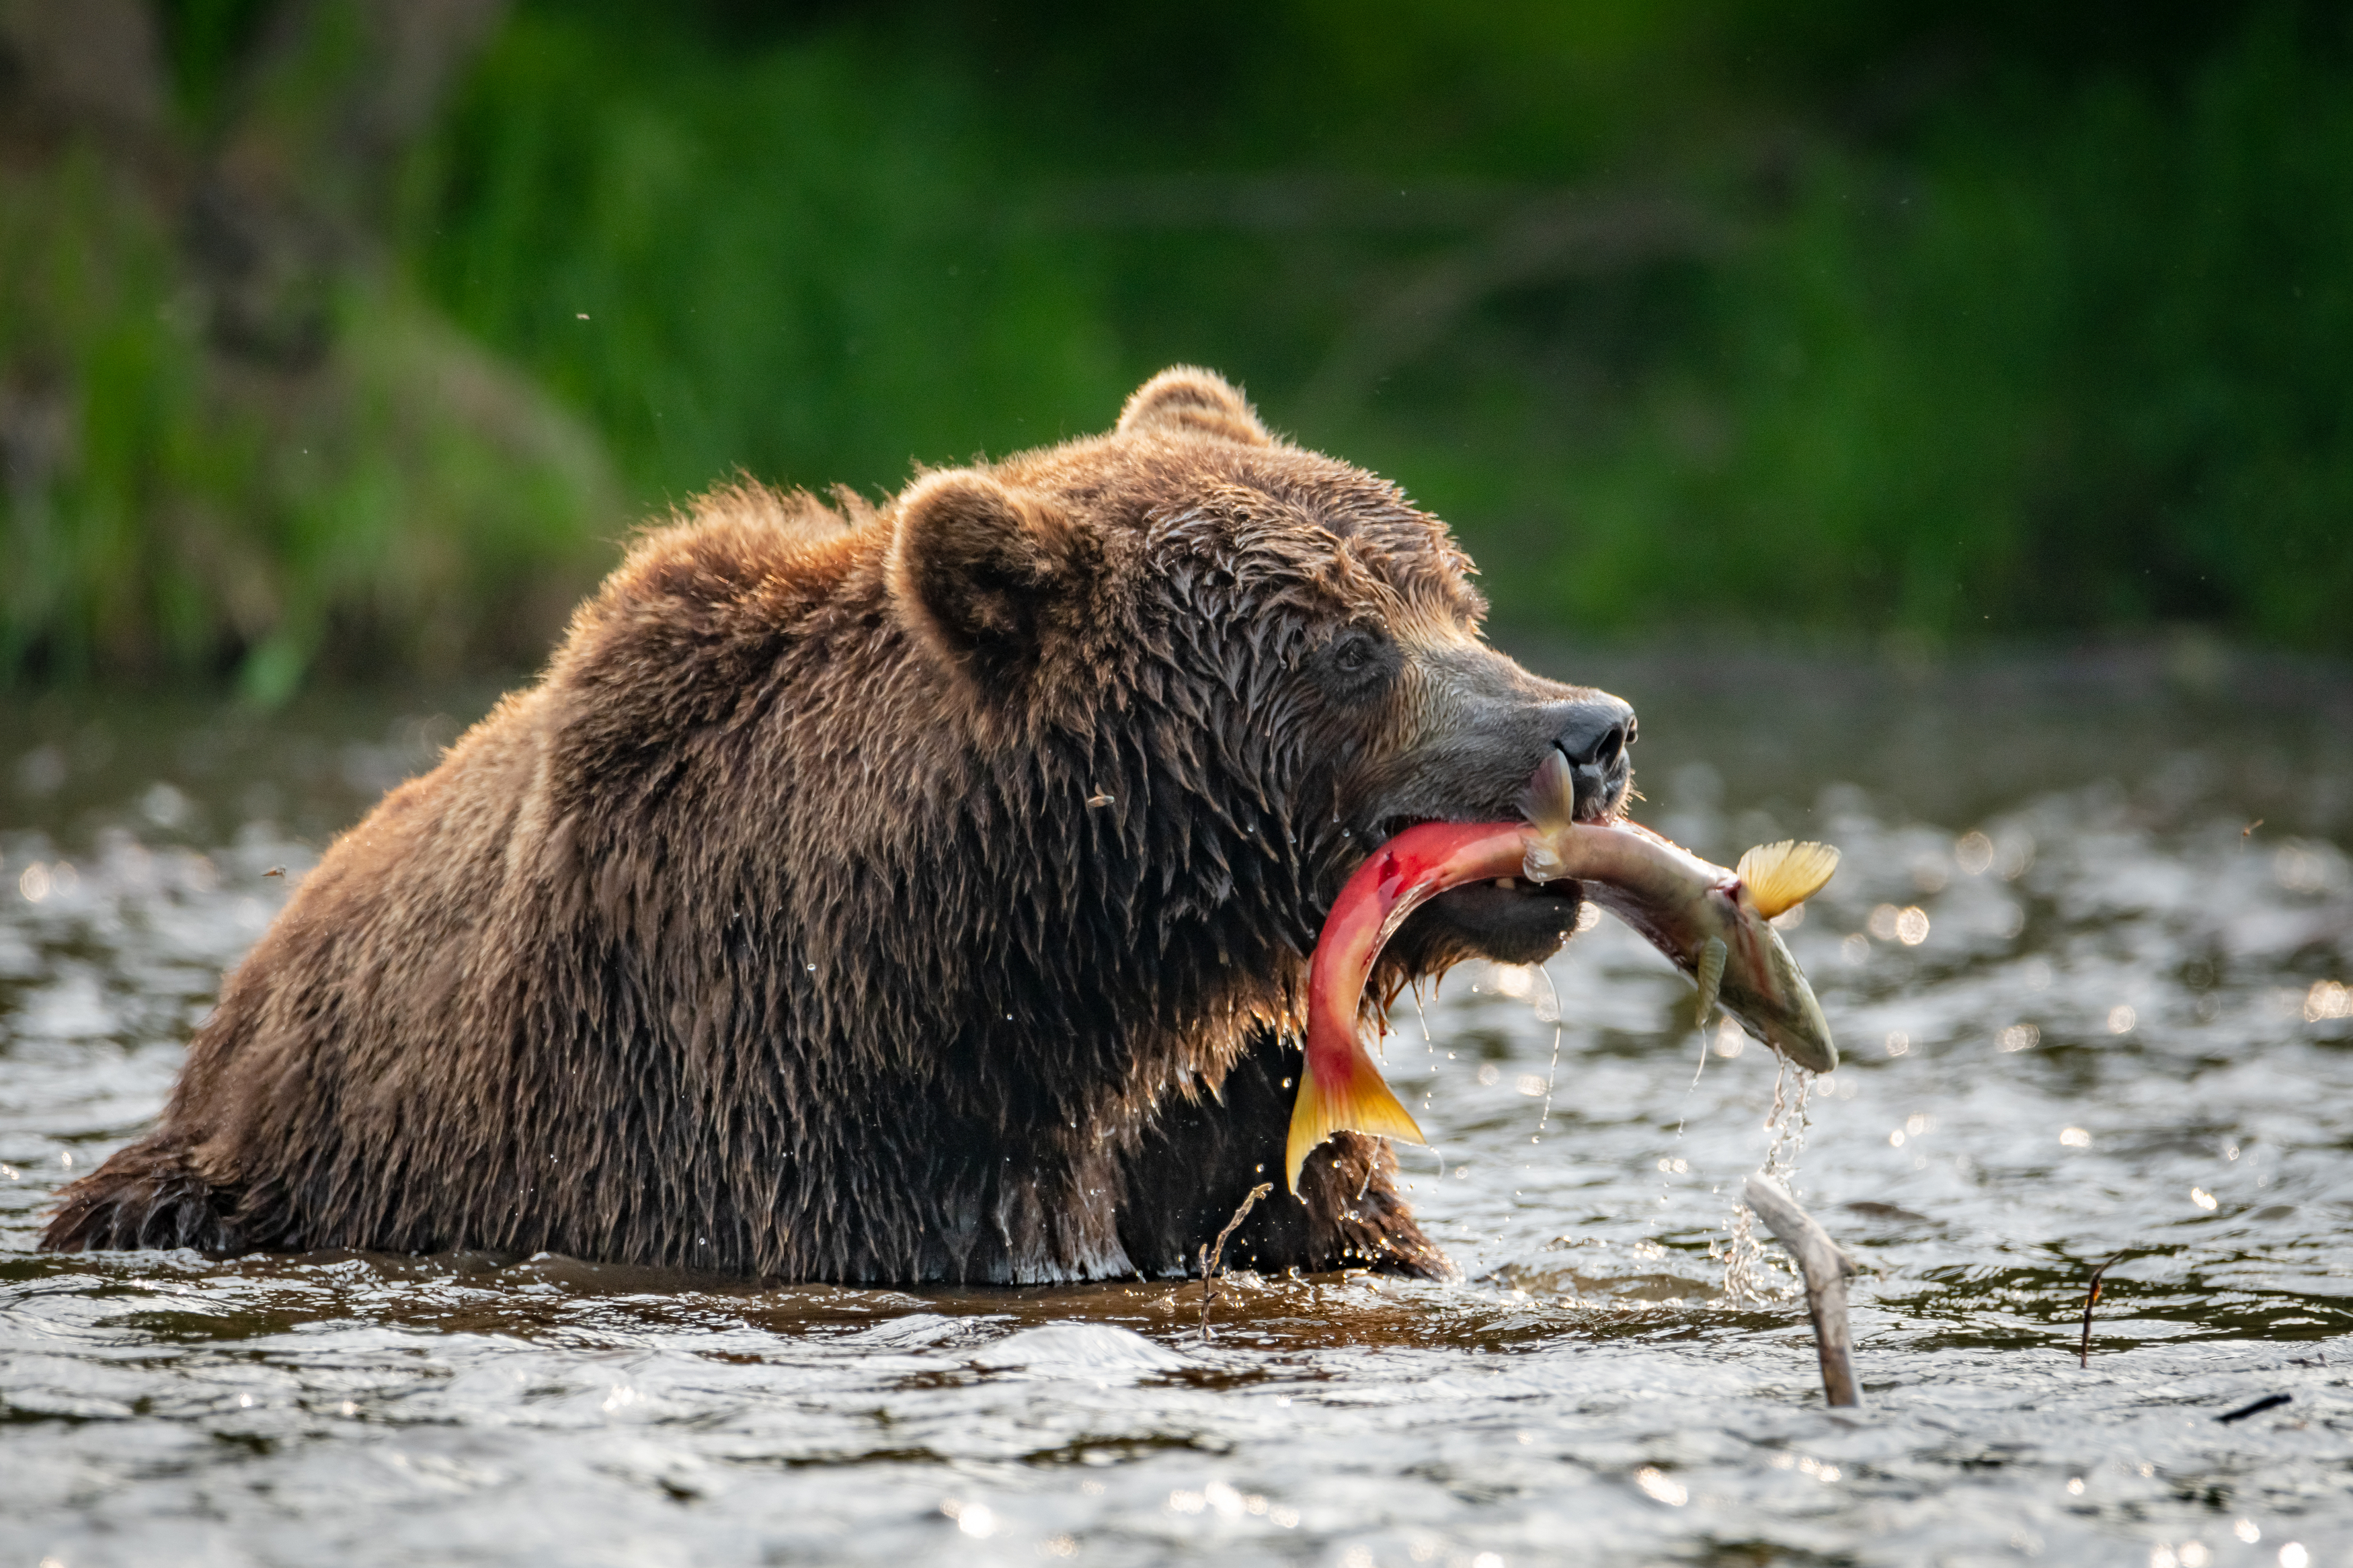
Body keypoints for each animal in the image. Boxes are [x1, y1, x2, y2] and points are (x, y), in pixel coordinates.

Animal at [50, 371, 1638, 1288]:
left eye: (1451, 593)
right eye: (1349, 647)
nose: (1591, 729)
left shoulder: (1242, 1125)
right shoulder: (794, 1117)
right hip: (234, 1182)